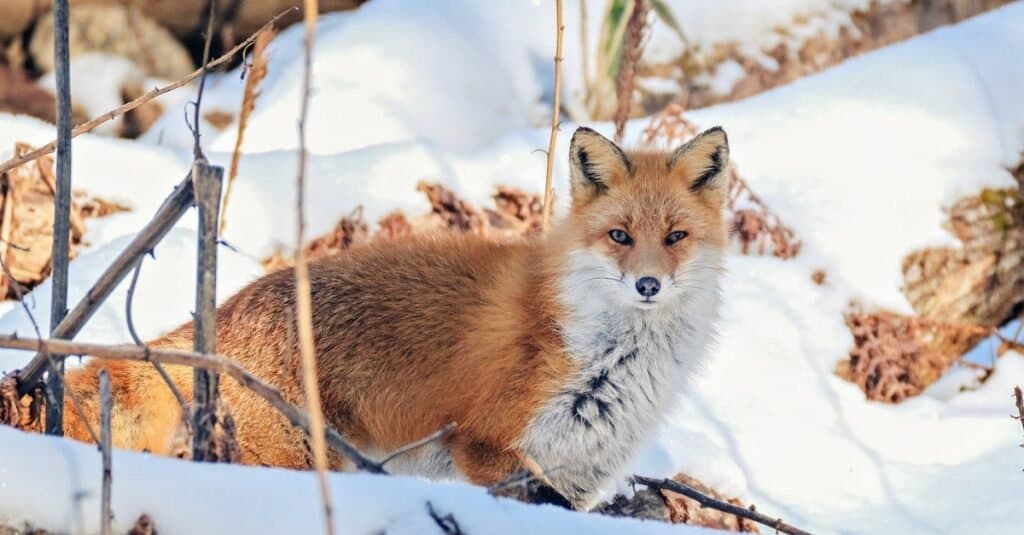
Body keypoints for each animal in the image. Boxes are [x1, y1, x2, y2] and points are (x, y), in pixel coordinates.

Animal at [54, 126, 729, 508]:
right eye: (620, 236)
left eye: (675, 237)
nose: (647, 284)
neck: (612, 359)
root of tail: (225, 307)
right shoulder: (486, 447)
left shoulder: (580, 475)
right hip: (292, 460)